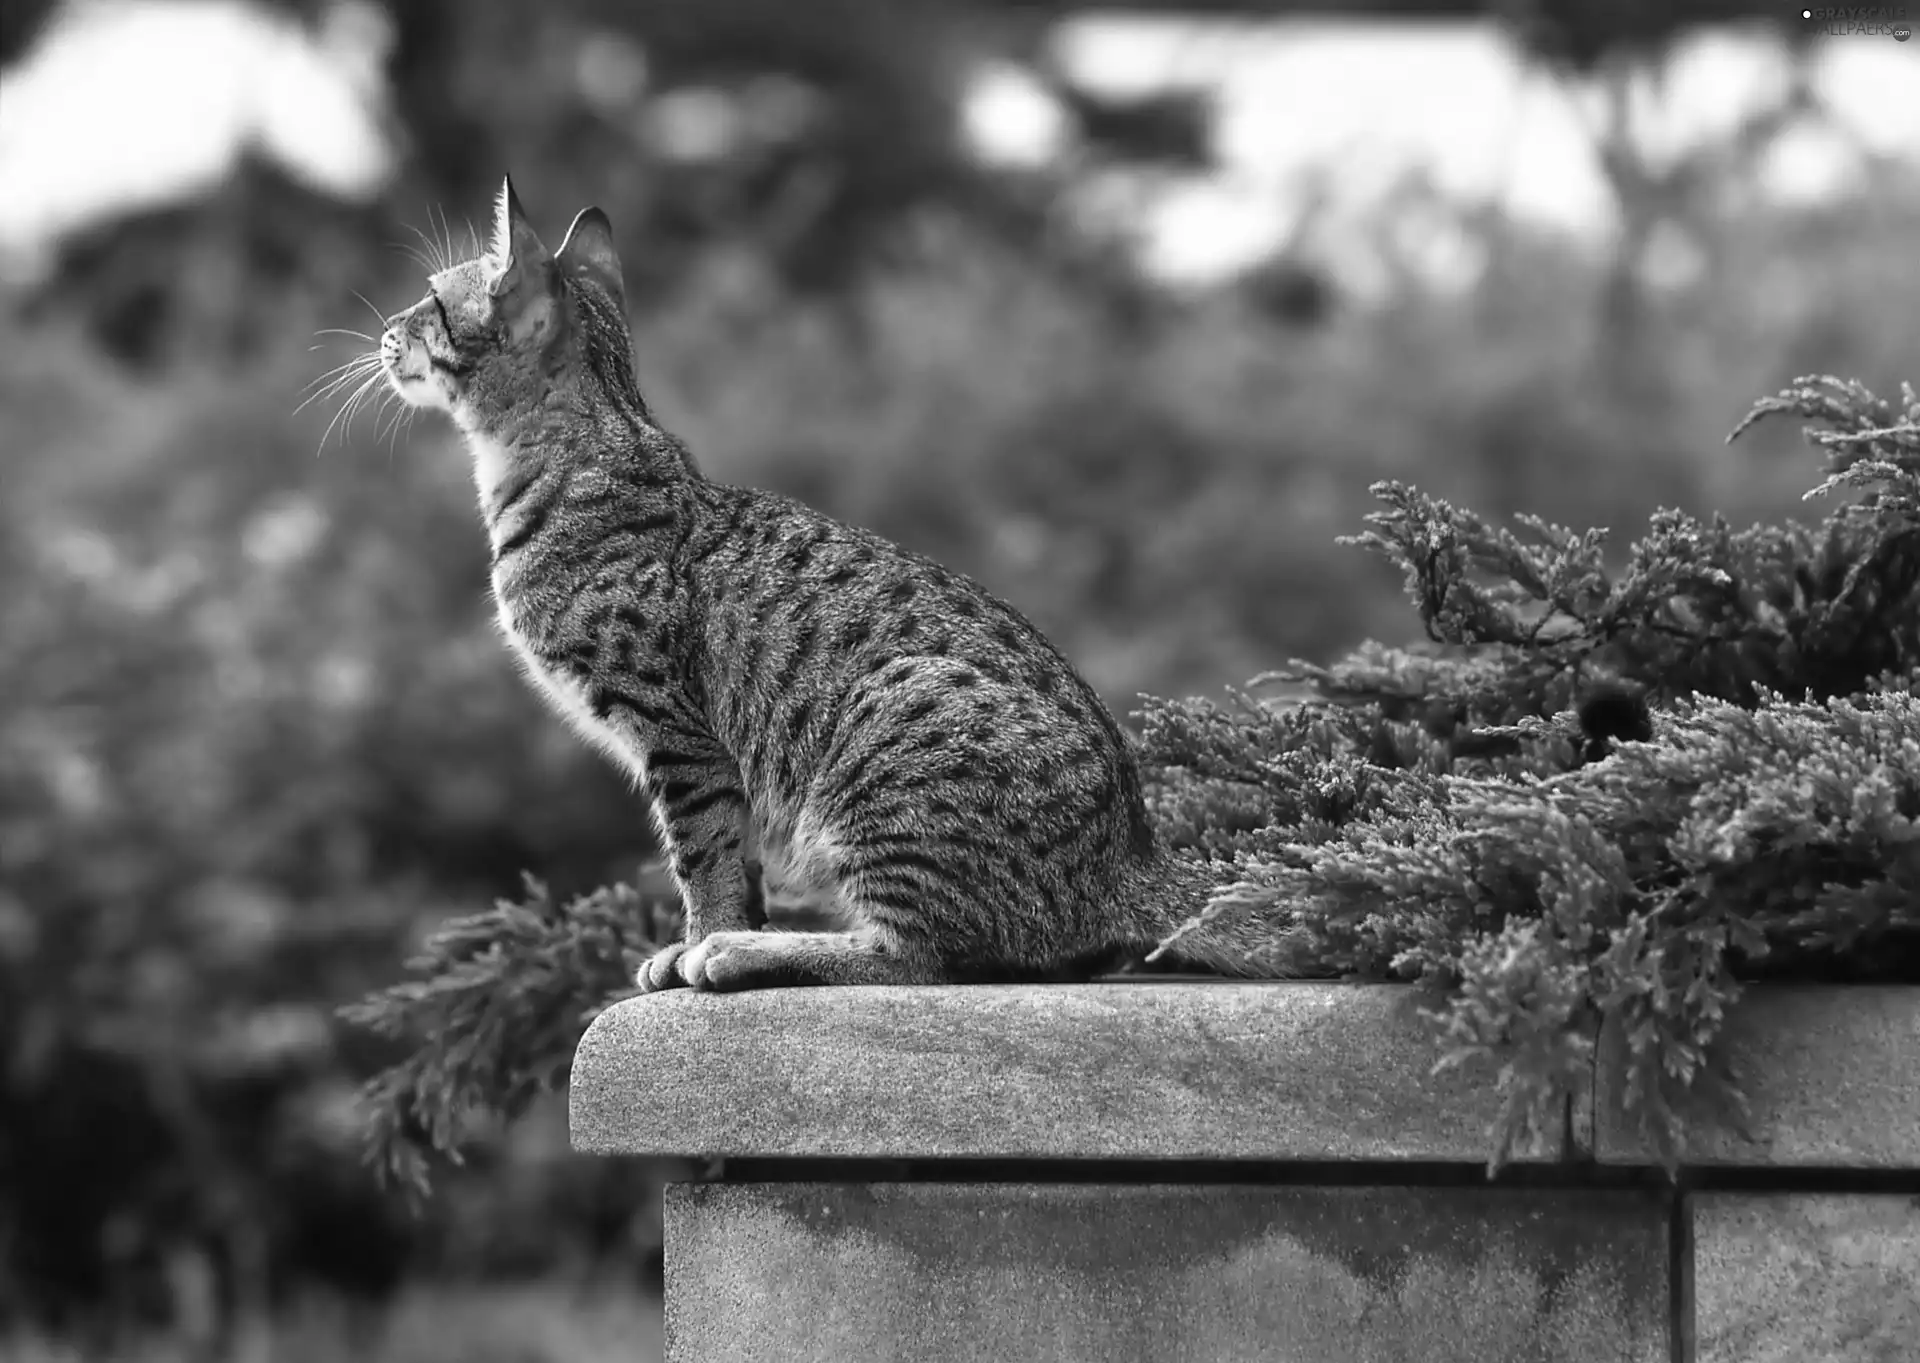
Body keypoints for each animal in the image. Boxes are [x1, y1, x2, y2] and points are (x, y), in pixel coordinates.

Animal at [370, 178, 1290, 990]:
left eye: (430, 300)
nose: (384, 329)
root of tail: (1134, 855)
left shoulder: (680, 736)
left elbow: (702, 858)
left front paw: (707, 940)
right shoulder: (708, 761)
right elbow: (737, 864)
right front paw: (714, 933)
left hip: (886, 731)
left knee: (923, 958)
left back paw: (749, 955)